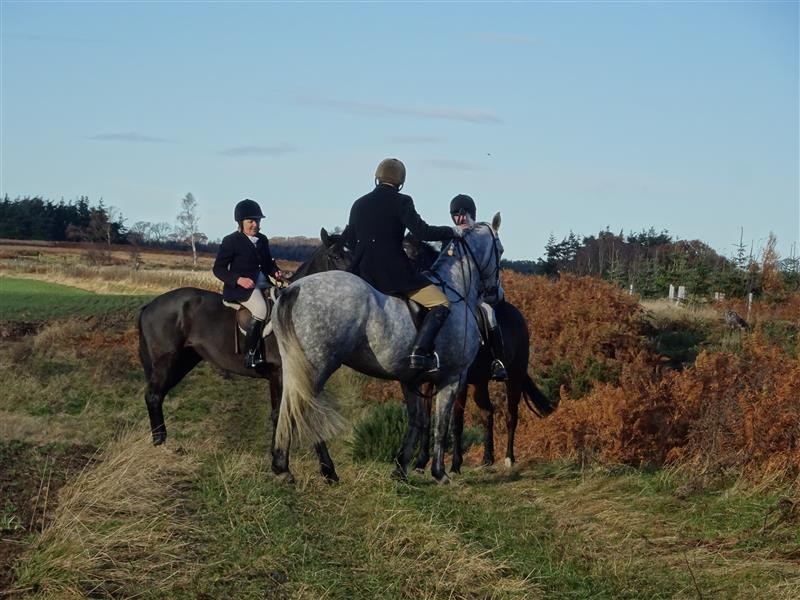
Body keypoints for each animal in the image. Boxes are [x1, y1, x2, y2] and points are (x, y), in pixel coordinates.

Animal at [136, 229, 350, 481]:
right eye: (334, 256)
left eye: (352, 256)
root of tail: (151, 305)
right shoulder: (280, 374)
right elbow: (280, 414)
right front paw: (282, 468)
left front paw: (327, 470)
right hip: (166, 361)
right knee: (153, 396)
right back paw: (159, 445)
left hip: (184, 361)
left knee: (158, 395)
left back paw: (162, 443)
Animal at [271, 215, 504, 484]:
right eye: (500, 250)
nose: (497, 293)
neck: (456, 289)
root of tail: (293, 289)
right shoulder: (453, 376)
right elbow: (440, 424)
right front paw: (439, 473)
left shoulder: (410, 379)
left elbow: (418, 420)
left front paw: (401, 468)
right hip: (317, 367)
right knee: (301, 409)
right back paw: (308, 469)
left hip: (294, 366)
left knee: (288, 408)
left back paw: (287, 467)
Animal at [404, 235, 558, 473]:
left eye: (412, 257)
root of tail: (519, 316)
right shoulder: (428, 381)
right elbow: (426, 419)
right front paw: (421, 462)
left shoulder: (459, 381)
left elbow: (456, 422)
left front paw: (455, 465)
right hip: (480, 383)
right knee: (488, 412)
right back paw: (487, 458)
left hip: (513, 378)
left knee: (511, 415)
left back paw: (508, 458)